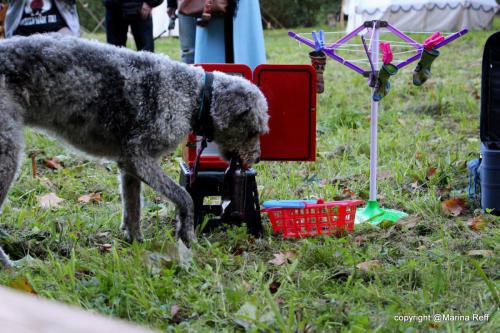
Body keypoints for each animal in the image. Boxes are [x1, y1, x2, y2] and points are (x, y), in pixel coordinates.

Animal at [0, 33, 270, 268]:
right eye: (253, 131)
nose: (257, 158)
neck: (191, 94)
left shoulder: (128, 166)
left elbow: (133, 209)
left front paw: (137, 243)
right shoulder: (139, 158)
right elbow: (184, 196)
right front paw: (187, 236)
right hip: (8, 154)